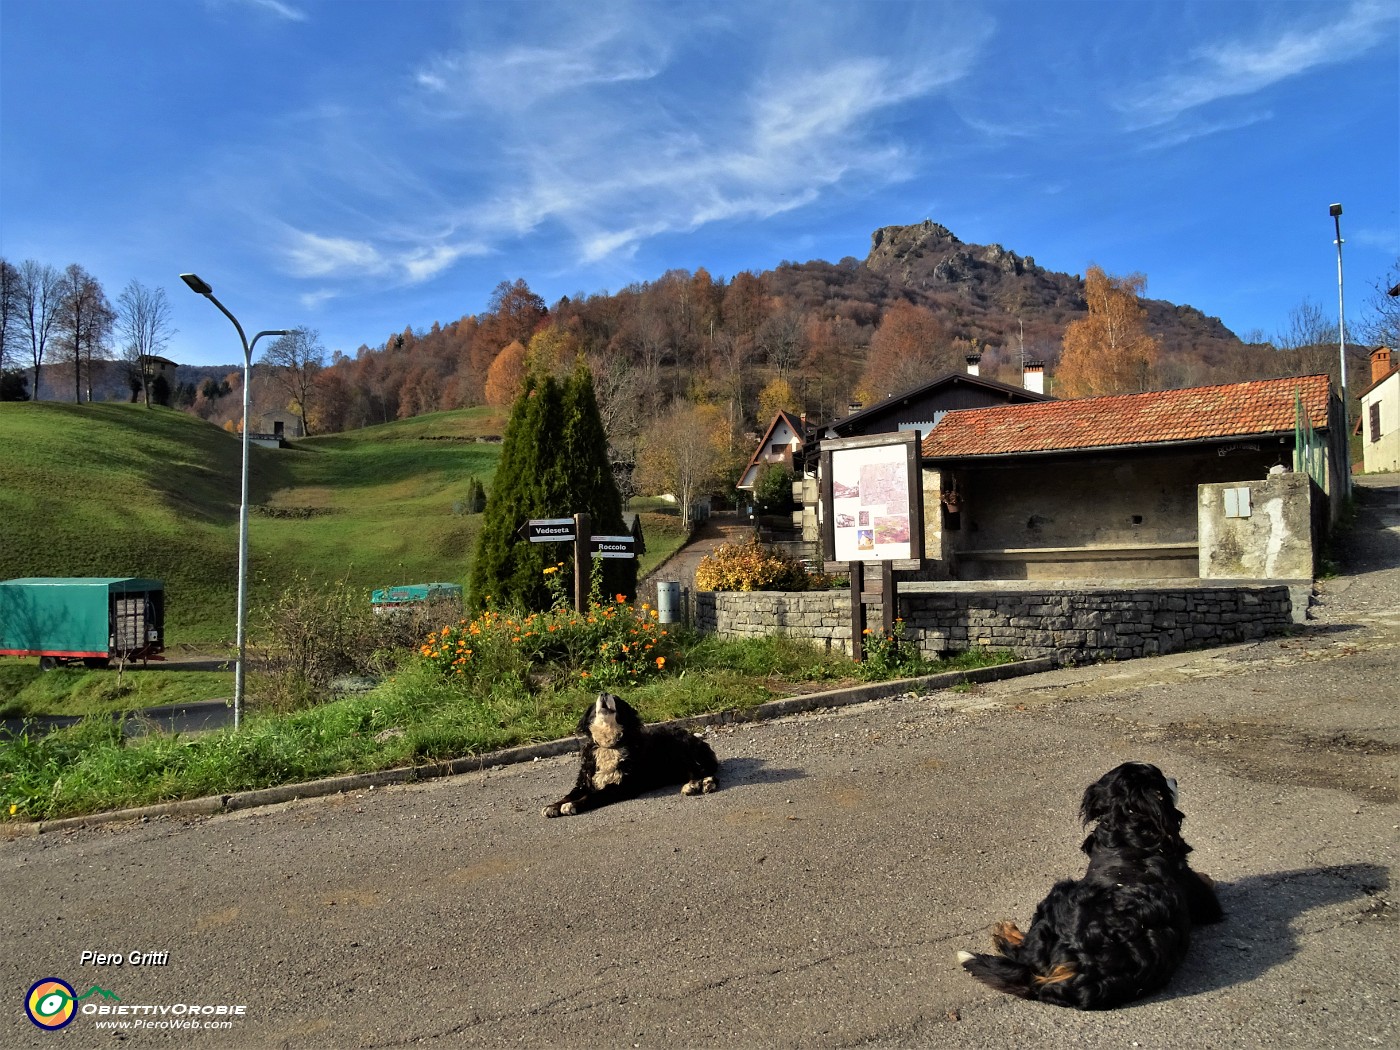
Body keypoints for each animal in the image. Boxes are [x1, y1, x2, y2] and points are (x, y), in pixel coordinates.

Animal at [543, 694, 722, 817]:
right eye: (595, 703)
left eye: (616, 699)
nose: (603, 693)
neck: (611, 744)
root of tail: (696, 739)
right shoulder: (584, 782)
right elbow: (568, 795)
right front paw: (553, 806)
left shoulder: (621, 786)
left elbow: (592, 796)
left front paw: (572, 805)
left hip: (679, 752)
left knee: (705, 772)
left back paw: (701, 784)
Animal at [957, 767, 1220, 1013]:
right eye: (1162, 782)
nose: (1175, 779)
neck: (1130, 831)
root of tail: (1085, 973)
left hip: (1060, 890)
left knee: (1023, 951)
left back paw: (1005, 932)